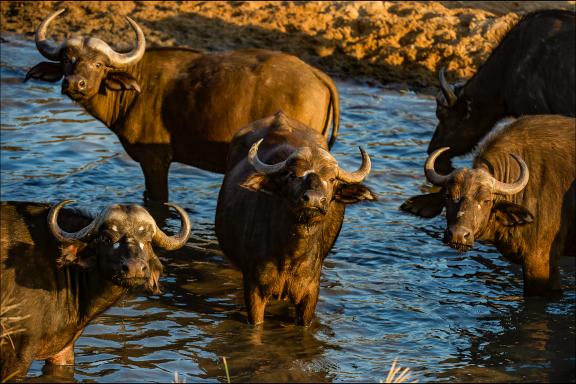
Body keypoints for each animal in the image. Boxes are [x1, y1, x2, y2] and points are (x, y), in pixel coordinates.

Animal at [24, 9, 340, 202]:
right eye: (67, 59)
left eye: (99, 64)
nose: (74, 84)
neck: (136, 87)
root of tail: (316, 73)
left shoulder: (155, 160)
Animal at [214, 111, 376, 324]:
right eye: (293, 175)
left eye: (332, 179)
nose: (313, 199)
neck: (290, 256)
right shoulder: (254, 289)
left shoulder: (310, 294)